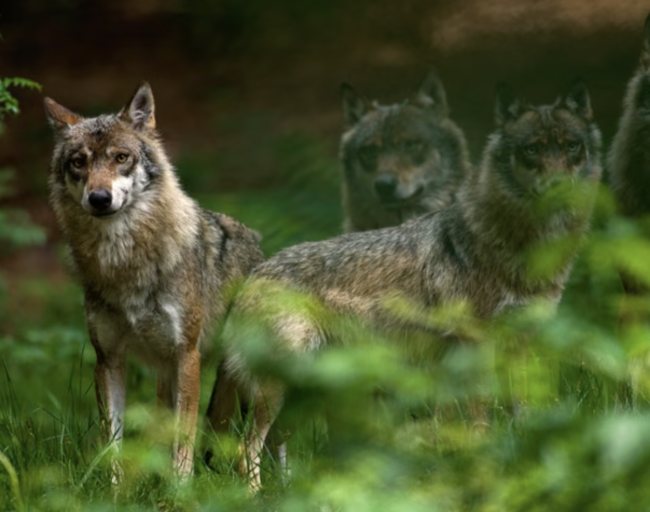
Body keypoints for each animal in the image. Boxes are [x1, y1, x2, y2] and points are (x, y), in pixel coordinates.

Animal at [44, 83, 264, 479]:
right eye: (79, 162)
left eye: (121, 157)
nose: (99, 198)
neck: (125, 263)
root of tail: (256, 242)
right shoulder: (108, 358)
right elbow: (113, 442)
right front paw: (116, 489)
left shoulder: (187, 355)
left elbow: (185, 438)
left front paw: (180, 488)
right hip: (166, 375)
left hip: (245, 375)